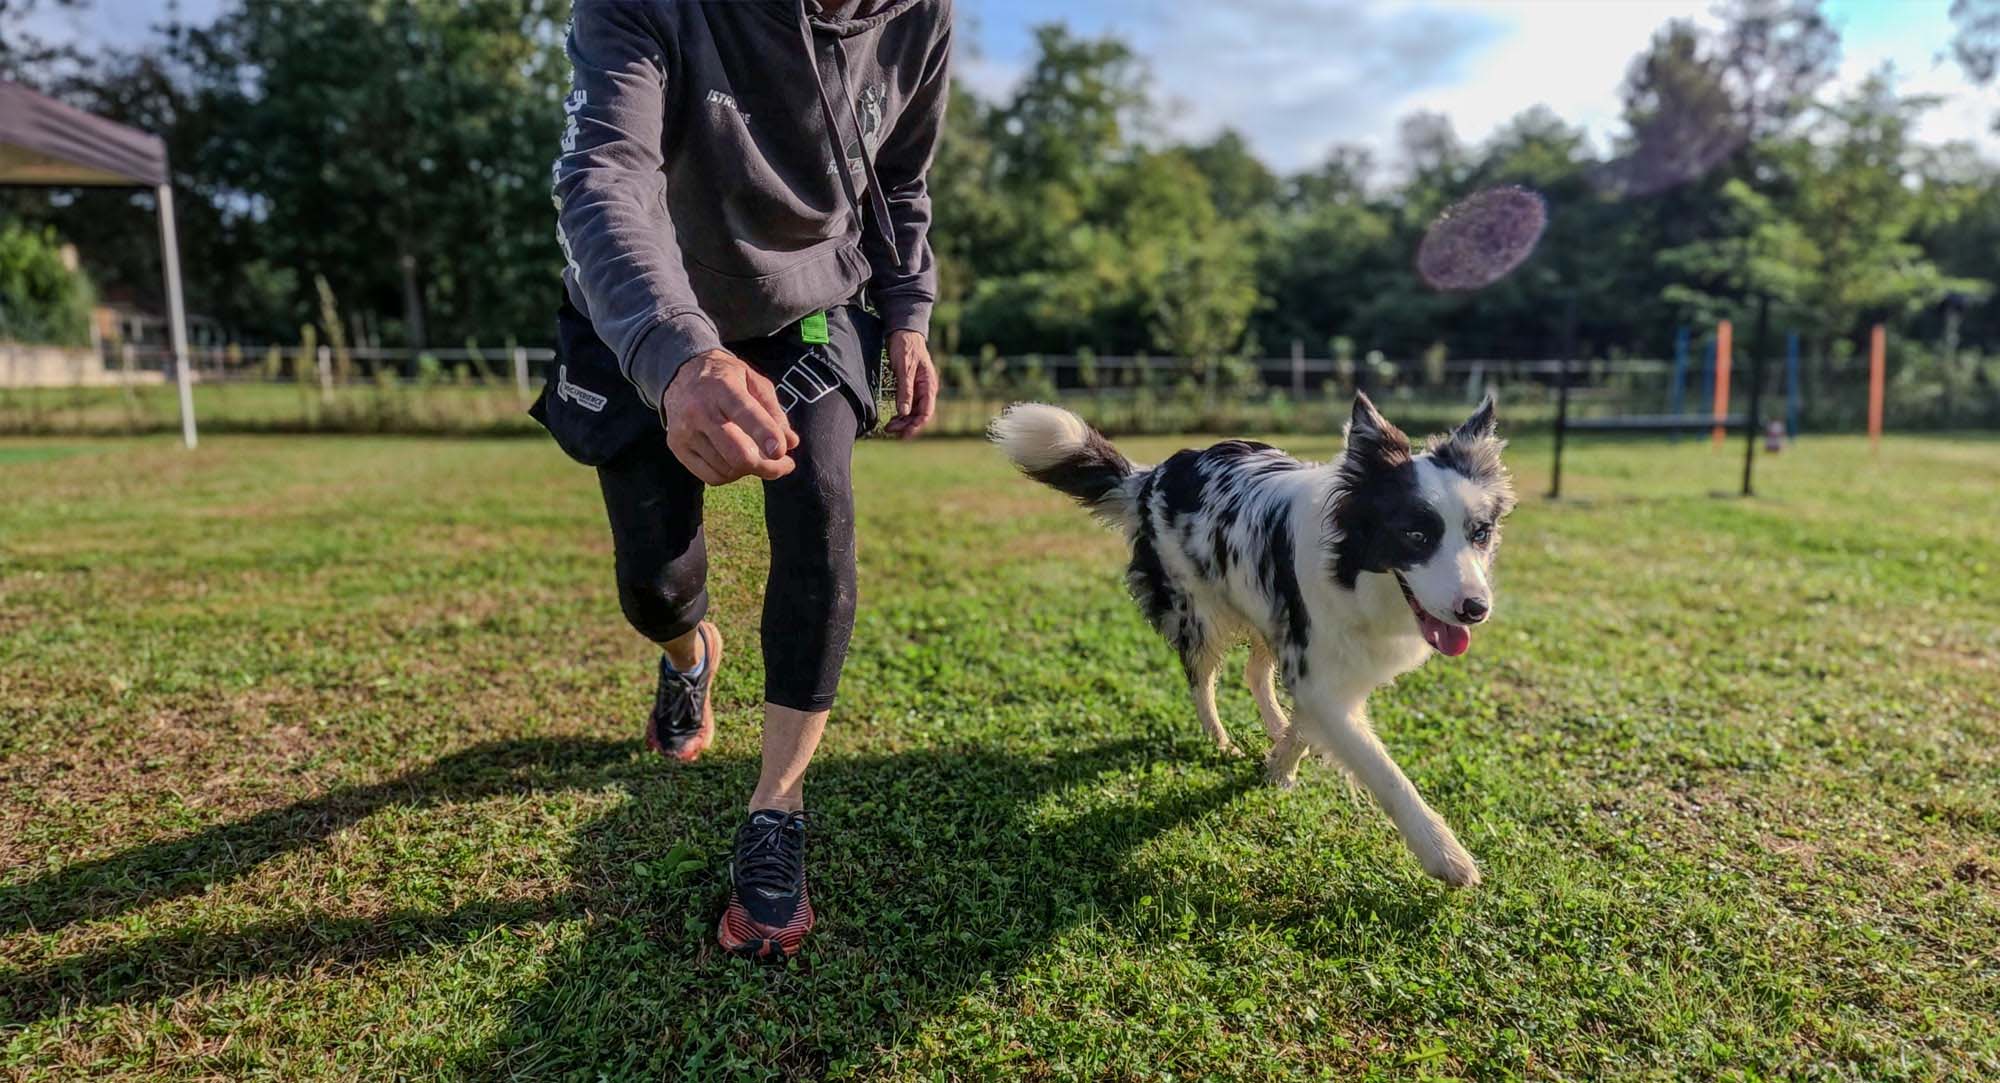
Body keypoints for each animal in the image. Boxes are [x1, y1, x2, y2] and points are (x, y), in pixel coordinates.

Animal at [990, 393, 1515, 887]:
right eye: (1415, 535)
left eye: (1480, 533)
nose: (1476, 609)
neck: (1352, 571)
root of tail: (1153, 475)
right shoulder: (1317, 662)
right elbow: (1382, 770)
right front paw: (1444, 854)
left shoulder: (1319, 658)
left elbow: (1308, 725)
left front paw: (1280, 764)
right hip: (1198, 613)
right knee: (1201, 682)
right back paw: (1221, 741)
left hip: (1264, 606)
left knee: (1254, 672)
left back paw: (1274, 729)